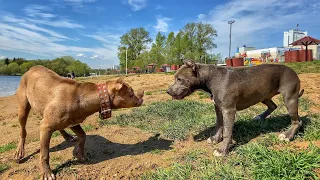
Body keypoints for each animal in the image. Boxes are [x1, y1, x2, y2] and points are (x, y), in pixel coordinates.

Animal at [14, 65, 144, 179]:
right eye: (131, 93)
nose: (142, 94)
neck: (81, 97)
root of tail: (31, 68)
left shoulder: (73, 122)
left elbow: (83, 136)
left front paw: (80, 154)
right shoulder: (45, 127)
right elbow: (44, 153)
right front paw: (47, 172)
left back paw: (68, 137)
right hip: (23, 109)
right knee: (22, 131)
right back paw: (19, 152)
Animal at [168, 59, 304, 157]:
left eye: (179, 79)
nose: (168, 91)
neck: (210, 78)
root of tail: (292, 70)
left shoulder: (228, 110)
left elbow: (227, 132)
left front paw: (222, 150)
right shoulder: (218, 108)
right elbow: (219, 125)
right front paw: (215, 139)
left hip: (290, 98)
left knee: (297, 121)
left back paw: (287, 136)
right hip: (264, 95)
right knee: (273, 106)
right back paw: (260, 117)